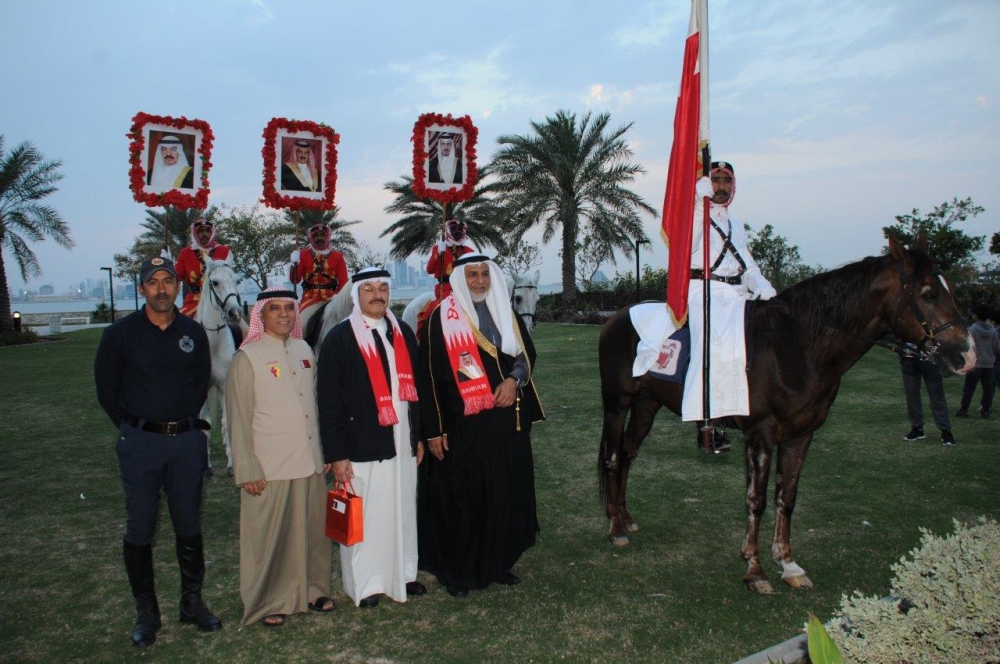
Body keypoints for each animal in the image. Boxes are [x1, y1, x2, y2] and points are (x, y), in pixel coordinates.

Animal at [596, 236, 972, 592]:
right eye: (928, 294)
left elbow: (786, 498)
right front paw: (754, 569)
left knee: (628, 454)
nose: (967, 355)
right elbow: (757, 499)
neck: (796, 346)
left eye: (950, 289)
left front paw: (788, 564)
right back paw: (614, 526)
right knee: (613, 457)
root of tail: (617, 317)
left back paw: (626, 517)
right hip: (617, 404)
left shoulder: (800, 436)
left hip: (646, 406)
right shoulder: (760, 435)